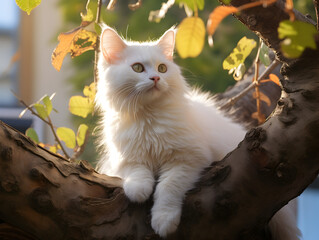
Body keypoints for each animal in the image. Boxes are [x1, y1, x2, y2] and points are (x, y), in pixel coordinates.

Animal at [96, 25, 302, 239]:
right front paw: (138, 190)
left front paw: (164, 221)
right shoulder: (123, 158)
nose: (156, 78)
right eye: (137, 68)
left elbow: (168, 188)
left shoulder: (188, 159)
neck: (148, 118)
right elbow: (136, 172)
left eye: (162, 68)